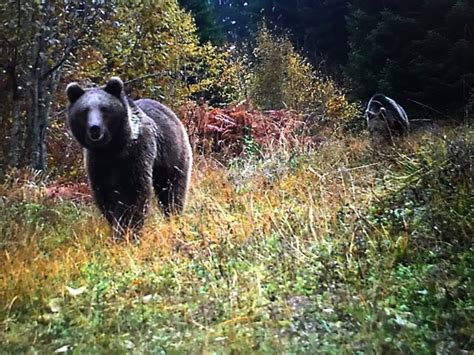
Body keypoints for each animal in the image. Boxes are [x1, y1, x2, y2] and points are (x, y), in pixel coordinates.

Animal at [65, 77, 193, 239]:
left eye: (104, 109)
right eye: (84, 110)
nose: (95, 128)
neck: (111, 149)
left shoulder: (135, 155)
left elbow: (132, 193)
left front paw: (127, 229)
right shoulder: (97, 163)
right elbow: (105, 195)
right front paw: (116, 225)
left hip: (172, 154)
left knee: (172, 189)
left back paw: (174, 215)